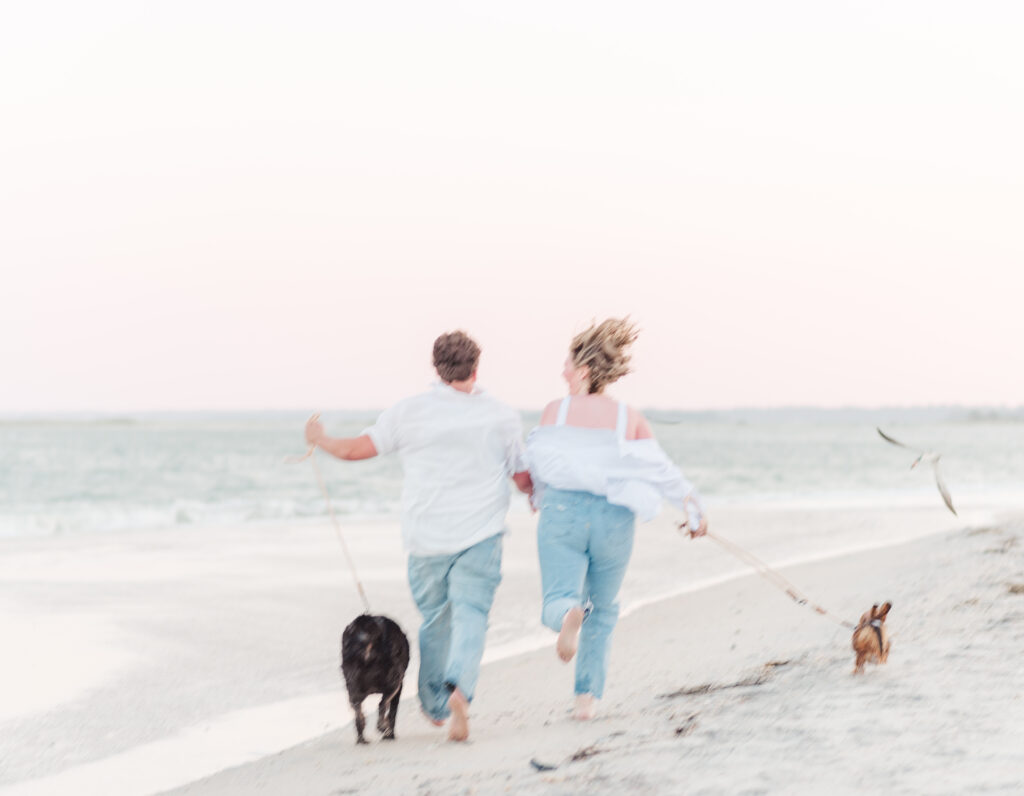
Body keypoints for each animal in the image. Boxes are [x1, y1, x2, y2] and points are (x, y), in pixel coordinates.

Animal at [342, 610, 409, 741]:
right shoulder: (398, 687)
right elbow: (392, 713)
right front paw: (389, 735)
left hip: (353, 688)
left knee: (358, 712)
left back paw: (362, 739)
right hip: (394, 683)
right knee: (382, 705)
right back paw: (384, 728)